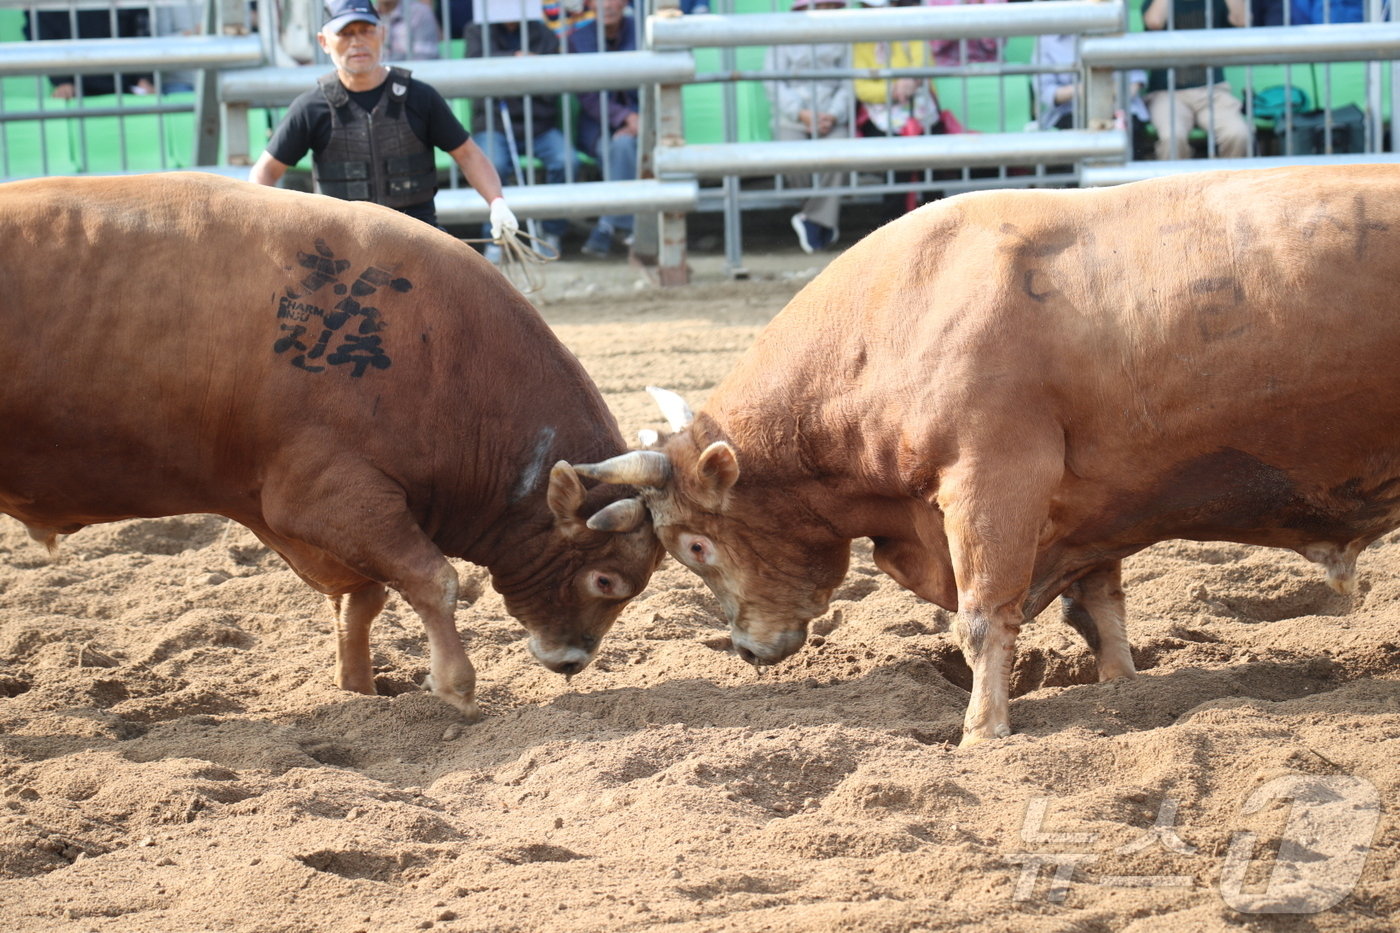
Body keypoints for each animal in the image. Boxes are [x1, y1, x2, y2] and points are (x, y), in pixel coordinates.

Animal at [1, 172, 666, 711]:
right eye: (606, 581)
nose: (572, 661)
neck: (441, 355)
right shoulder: (326, 496)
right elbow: (434, 579)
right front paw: (456, 686)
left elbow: (364, 597)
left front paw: (360, 689)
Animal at [568, 159, 1400, 739]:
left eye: (696, 545)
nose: (744, 647)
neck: (893, 318)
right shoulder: (1091, 505)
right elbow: (1101, 606)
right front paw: (1122, 685)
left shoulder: (992, 480)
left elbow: (981, 617)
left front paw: (982, 730)